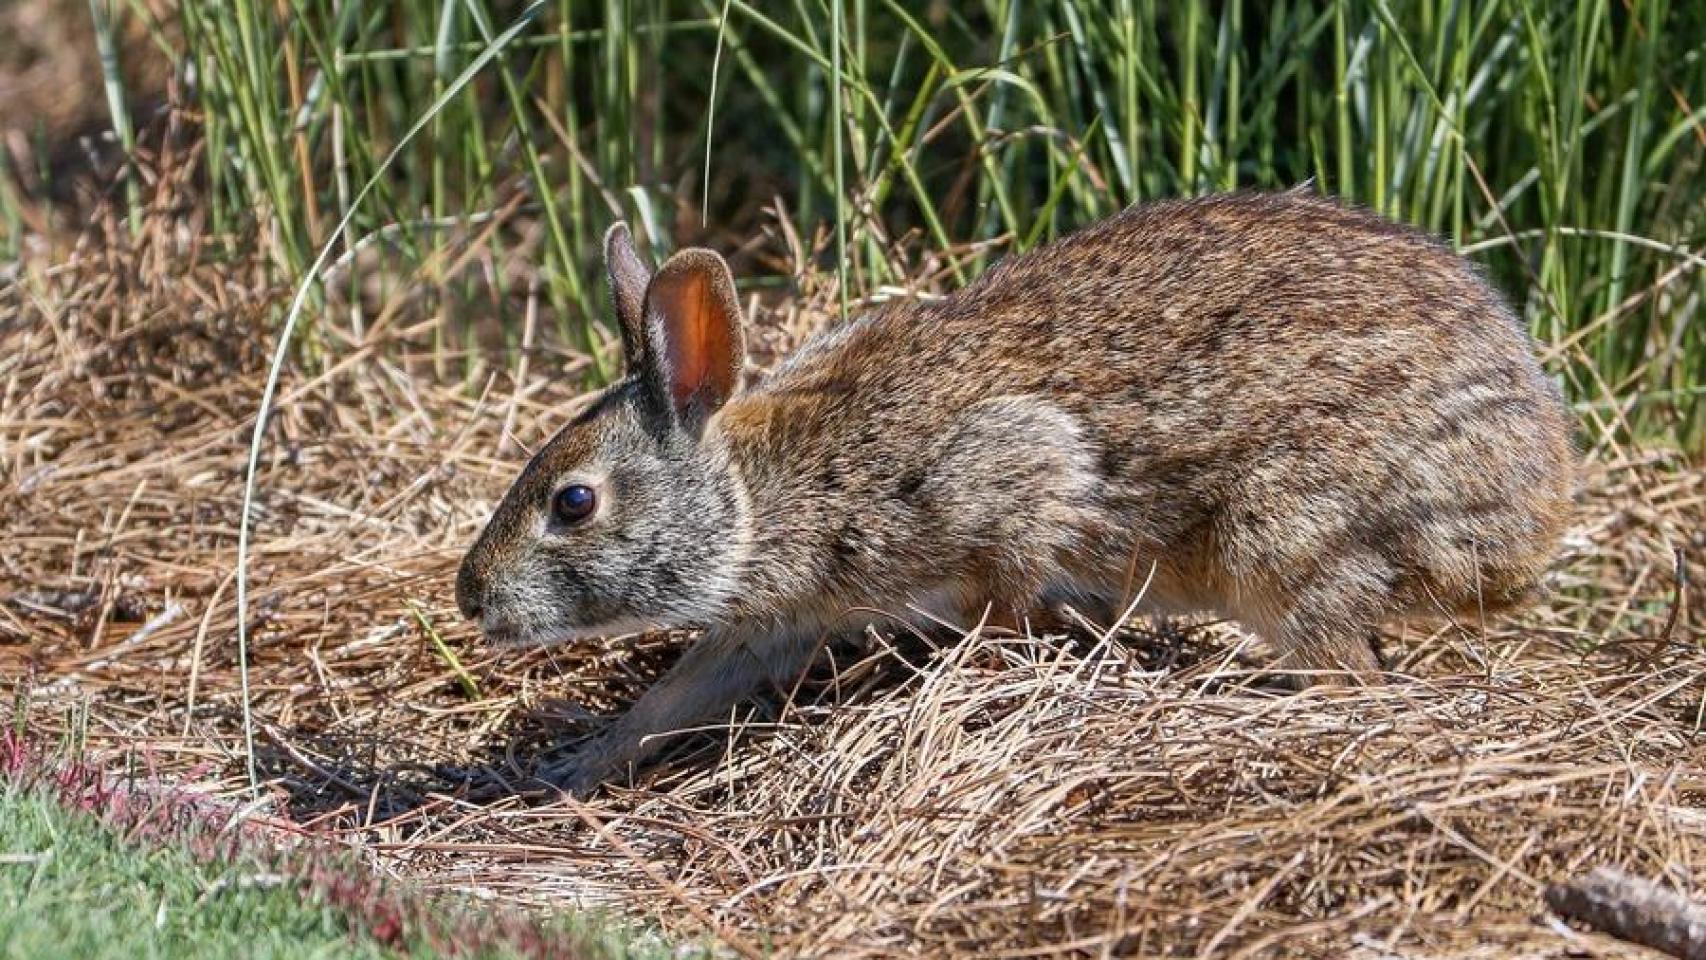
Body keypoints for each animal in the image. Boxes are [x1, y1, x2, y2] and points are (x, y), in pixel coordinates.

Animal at [455, 190, 1575, 794]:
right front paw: (571, 769)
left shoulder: (1008, 488)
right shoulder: (771, 622)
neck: (763, 490)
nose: (471, 599)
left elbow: (1008, 581)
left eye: (573, 504)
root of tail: (1530, 519)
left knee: (1349, 667)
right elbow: (675, 694)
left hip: (1286, 531)